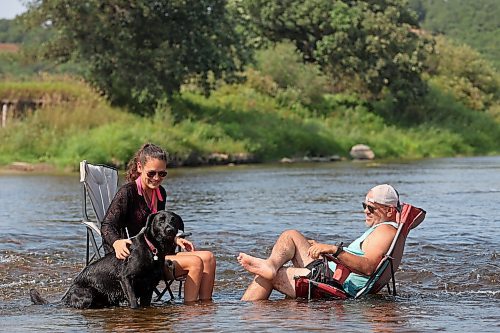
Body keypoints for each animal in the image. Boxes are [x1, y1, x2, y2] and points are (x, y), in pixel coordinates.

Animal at [29, 210, 183, 308]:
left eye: (173, 220)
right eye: (160, 221)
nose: (170, 230)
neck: (153, 248)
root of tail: (66, 296)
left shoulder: (149, 285)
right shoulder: (126, 279)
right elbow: (134, 303)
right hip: (88, 294)